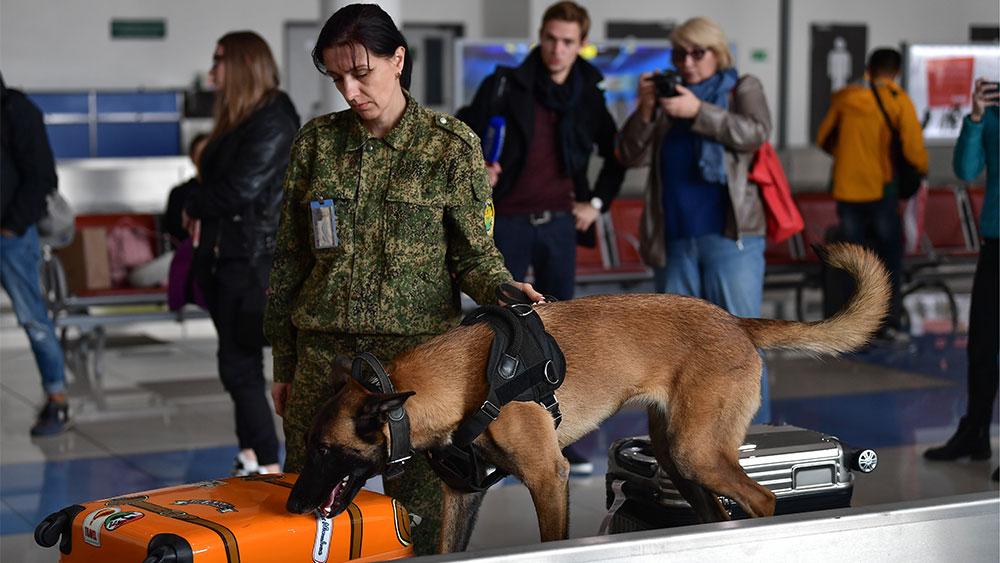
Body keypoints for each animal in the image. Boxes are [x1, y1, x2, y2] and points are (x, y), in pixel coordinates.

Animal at [286, 242, 888, 552]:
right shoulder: (462, 494)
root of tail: (737, 322)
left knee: (762, 501)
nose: (292, 506)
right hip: (680, 457)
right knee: (720, 510)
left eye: (323, 450)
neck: (462, 379)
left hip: (696, 452)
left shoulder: (548, 477)